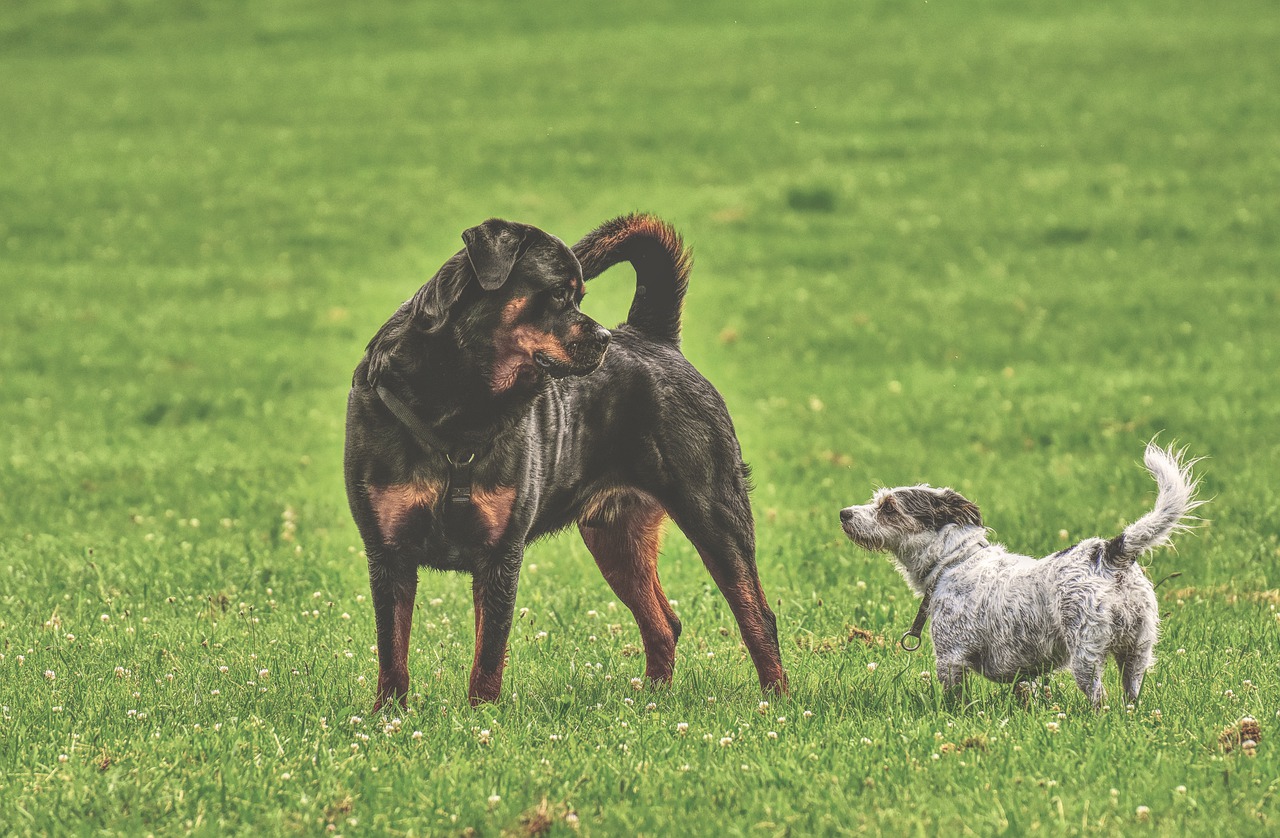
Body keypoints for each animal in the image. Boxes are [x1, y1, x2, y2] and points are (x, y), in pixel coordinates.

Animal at [345, 214, 783, 706]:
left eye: (579, 296)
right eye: (558, 292)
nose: (605, 338)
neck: (459, 401)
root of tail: (653, 335)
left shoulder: (501, 555)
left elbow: (487, 656)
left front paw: (481, 714)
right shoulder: (387, 553)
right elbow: (392, 652)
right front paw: (389, 714)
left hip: (714, 512)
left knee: (758, 616)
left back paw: (775, 700)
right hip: (616, 537)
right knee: (663, 624)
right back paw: (650, 700)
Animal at [839, 442, 1198, 706]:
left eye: (888, 508)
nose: (844, 513)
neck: (954, 561)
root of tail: (1109, 551)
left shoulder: (951, 658)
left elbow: (955, 700)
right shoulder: (1026, 672)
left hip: (1086, 653)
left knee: (1099, 698)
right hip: (1137, 652)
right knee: (1131, 697)